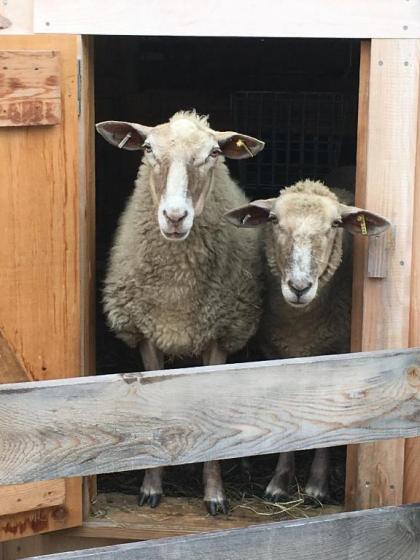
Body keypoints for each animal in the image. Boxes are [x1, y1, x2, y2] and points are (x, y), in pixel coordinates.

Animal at [97, 110, 264, 516]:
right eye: (147, 148)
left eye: (214, 153)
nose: (175, 216)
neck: (177, 286)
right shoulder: (146, 333)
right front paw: (151, 487)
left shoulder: (219, 335)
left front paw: (215, 493)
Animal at [225, 180, 392, 504]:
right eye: (274, 220)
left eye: (336, 224)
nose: (299, 287)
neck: (301, 326)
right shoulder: (275, 353)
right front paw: (279, 482)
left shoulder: (337, 354)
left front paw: (317, 486)